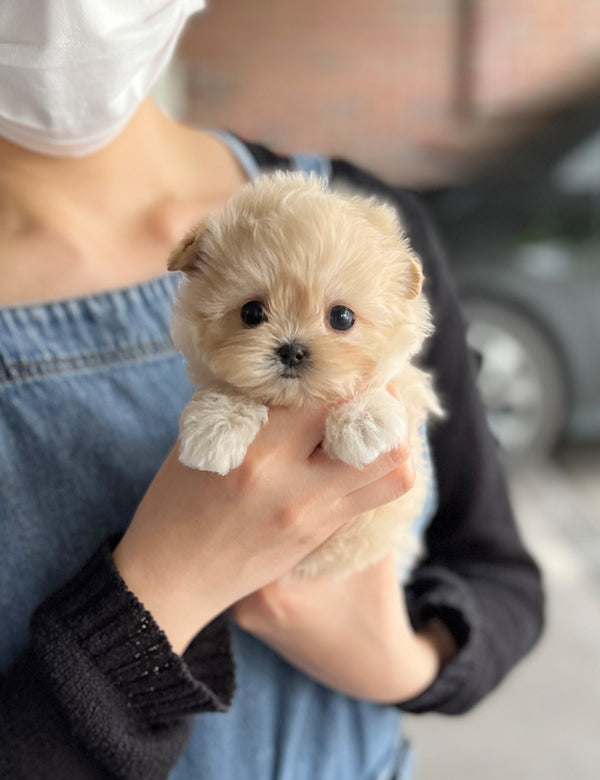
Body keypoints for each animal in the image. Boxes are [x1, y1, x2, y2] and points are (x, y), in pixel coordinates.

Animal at [168, 172, 440, 580]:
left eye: (342, 317)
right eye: (251, 312)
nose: (292, 350)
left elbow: (384, 385)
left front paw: (363, 422)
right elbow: (228, 385)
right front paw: (216, 426)